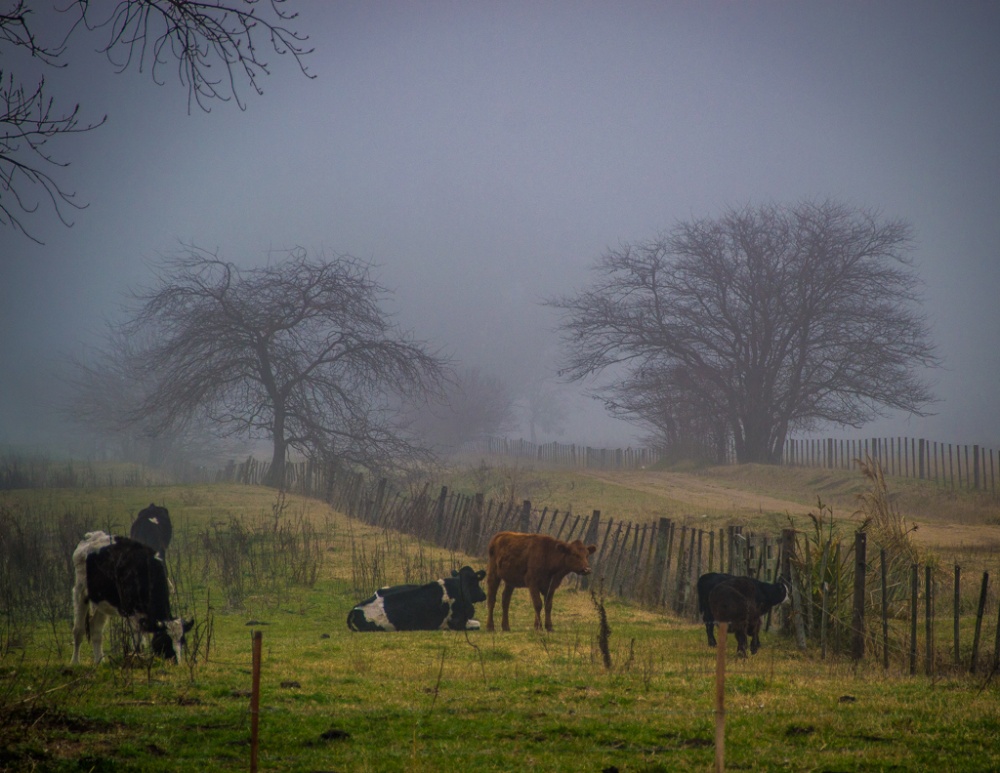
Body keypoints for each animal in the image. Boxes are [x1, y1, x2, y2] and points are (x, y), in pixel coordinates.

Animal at [71, 532, 192, 664]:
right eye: (165, 640)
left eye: (182, 641)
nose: (177, 663)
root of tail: (91, 536)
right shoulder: (132, 613)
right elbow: (138, 641)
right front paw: (138, 659)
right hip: (81, 592)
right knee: (78, 630)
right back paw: (75, 662)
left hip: (101, 601)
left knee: (96, 629)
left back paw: (99, 661)